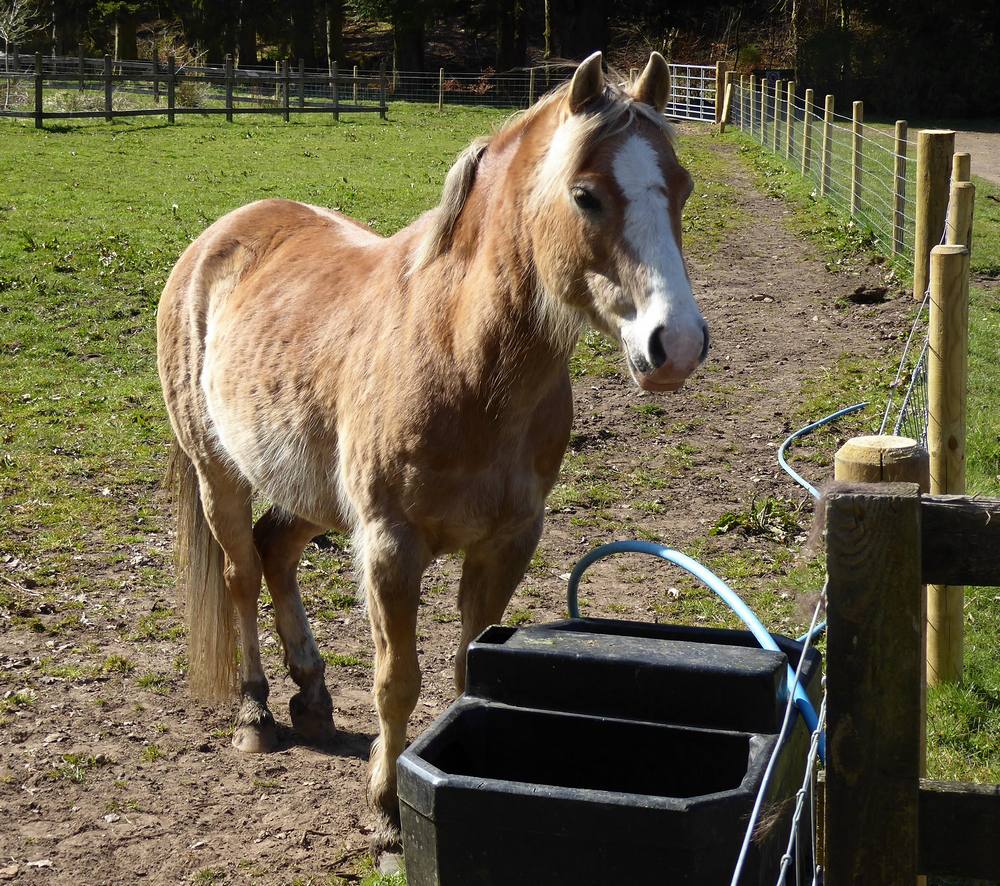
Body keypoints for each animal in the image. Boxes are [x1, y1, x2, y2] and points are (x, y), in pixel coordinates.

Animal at [156, 50, 708, 852]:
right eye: (586, 196)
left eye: (682, 187)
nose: (679, 344)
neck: (459, 355)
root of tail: (220, 236)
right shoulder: (391, 547)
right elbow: (398, 680)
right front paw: (387, 807)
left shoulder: (505, 544)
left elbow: (467, 668)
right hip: (219, 474)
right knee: (239, 573)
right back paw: (256, 711)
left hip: (314, 496)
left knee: (274, 551)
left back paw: (311, 695)